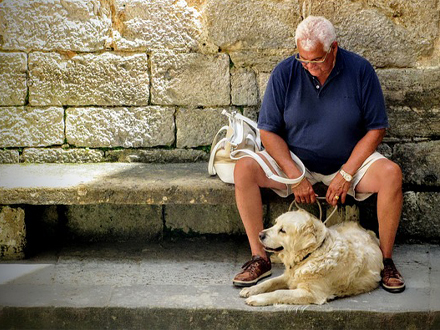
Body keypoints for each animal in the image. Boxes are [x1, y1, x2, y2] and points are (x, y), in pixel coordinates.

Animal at [239, 209, 384, 306]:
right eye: (275, 224)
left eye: (282, 230)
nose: (260, 234)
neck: (311, 254)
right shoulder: (289, 276)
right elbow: (269, 282)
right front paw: (250, 290)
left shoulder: (311, 293)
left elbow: (279, 292)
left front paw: (257, 298)